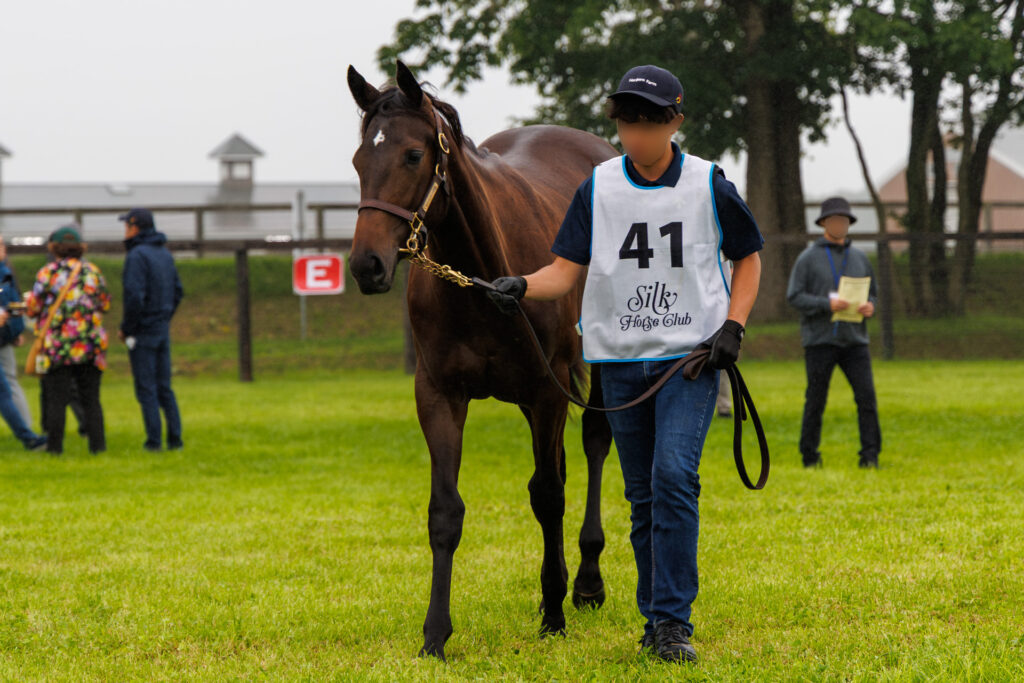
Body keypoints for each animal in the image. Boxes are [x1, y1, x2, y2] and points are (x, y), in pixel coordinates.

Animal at [346, 60, 618, 660]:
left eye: (413, 155)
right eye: (358, 160)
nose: (366, 265)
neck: (482, 278)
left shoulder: (547, 389)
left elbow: (547, 497)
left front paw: (554, 615)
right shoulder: (439, 394)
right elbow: (445, 511)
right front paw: (435, 634)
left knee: (592, 445)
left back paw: (585, 582)